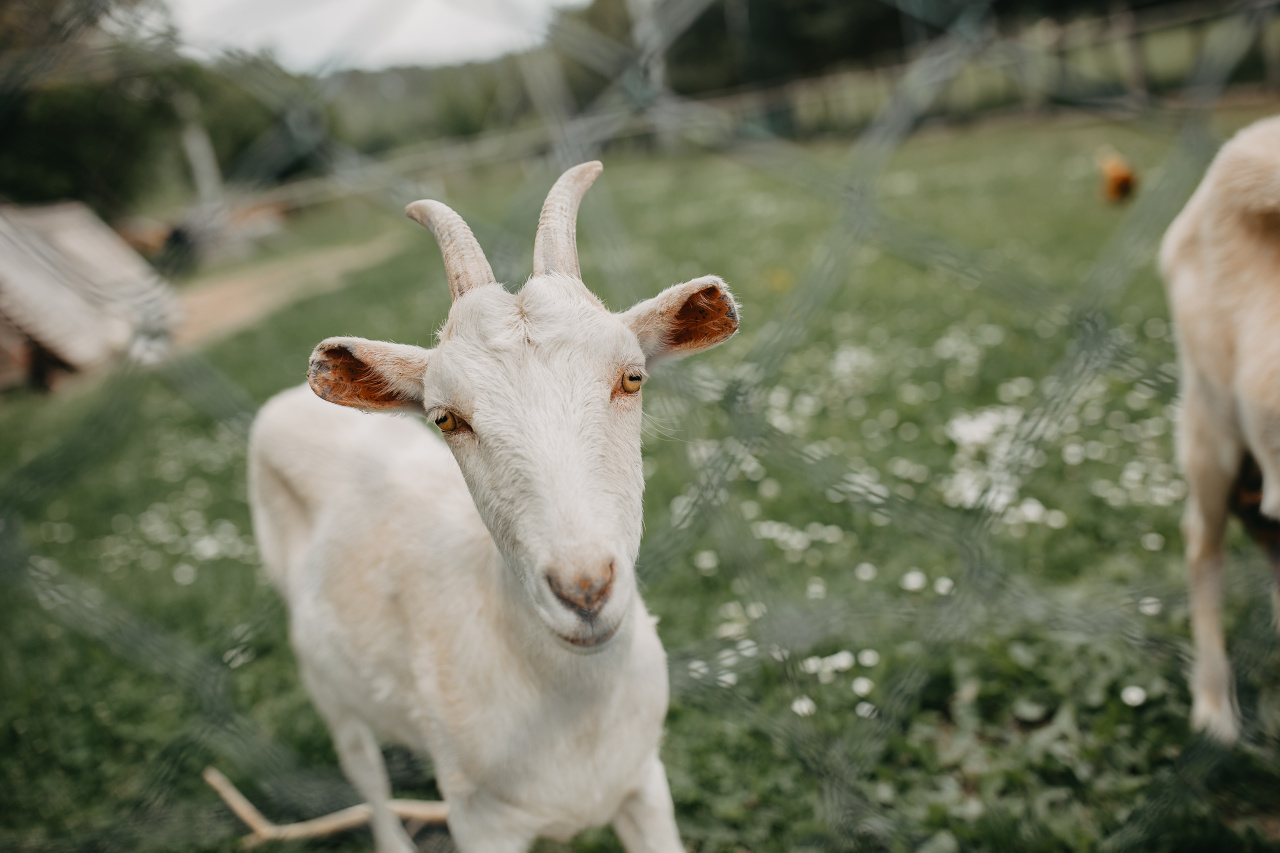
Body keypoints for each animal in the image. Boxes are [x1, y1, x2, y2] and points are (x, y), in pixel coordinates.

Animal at [247, 161, 742, 850]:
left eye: (633, 376)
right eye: (446, 417)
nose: (584, 590)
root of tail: (285, 400)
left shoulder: (645, 780)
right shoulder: (479, 817)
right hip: (322, 676)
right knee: (362, 767)